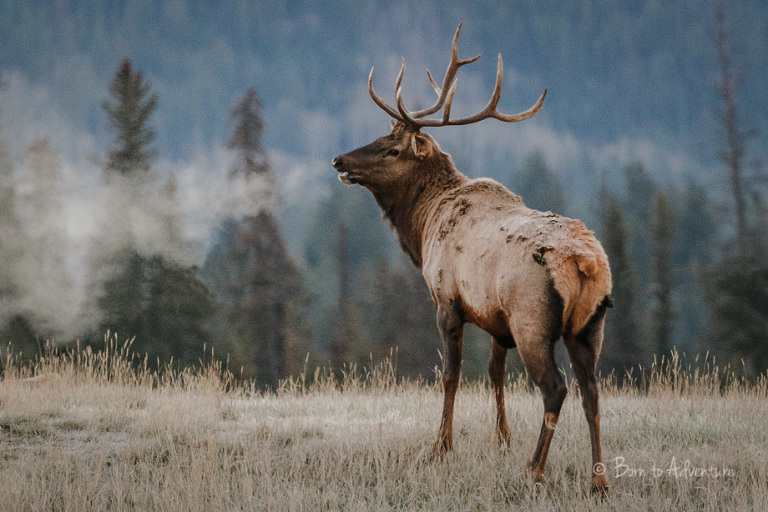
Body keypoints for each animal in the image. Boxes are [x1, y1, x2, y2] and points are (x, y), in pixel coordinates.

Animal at [332, 24, 612, 494]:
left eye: (392, 149)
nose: (338, 159)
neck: (422, 228)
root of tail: (586, 265)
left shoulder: (447, 299)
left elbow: (451, 374)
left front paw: (439, 448)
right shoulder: (496, 321)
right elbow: (495, 375)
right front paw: (502, 439)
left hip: (532, 319)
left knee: (556, 388)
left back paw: (535, 470)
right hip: (590, 326)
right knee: (591, 389)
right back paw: (599, 480)